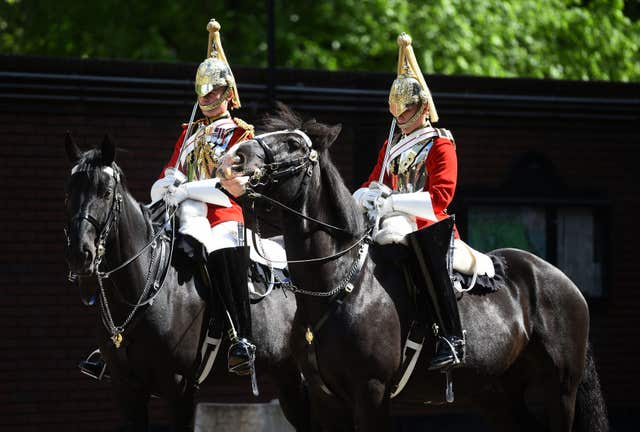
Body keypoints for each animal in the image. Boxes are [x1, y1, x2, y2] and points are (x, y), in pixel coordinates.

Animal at [222, 105, 608, 432]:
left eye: (292, 144)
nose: (234, 161)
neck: (338, 285)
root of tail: (563, 280)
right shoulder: (326, 401)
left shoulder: (371, 393)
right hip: (496, 393)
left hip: (559, 390)